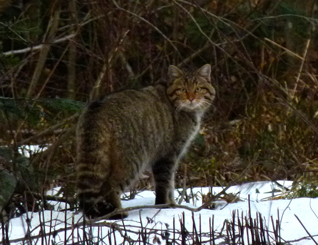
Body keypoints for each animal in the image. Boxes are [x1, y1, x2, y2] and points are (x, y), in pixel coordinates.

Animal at [76, 64, 215, 219]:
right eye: (183, 89)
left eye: (198, 89)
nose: (191, 98)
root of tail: (97, 108)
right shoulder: (167, 155)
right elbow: (164, 184)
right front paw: (164, 206)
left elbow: (171, 184)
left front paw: (172, 205)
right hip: (133, 160)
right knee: (109, 185)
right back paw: (118, 212)